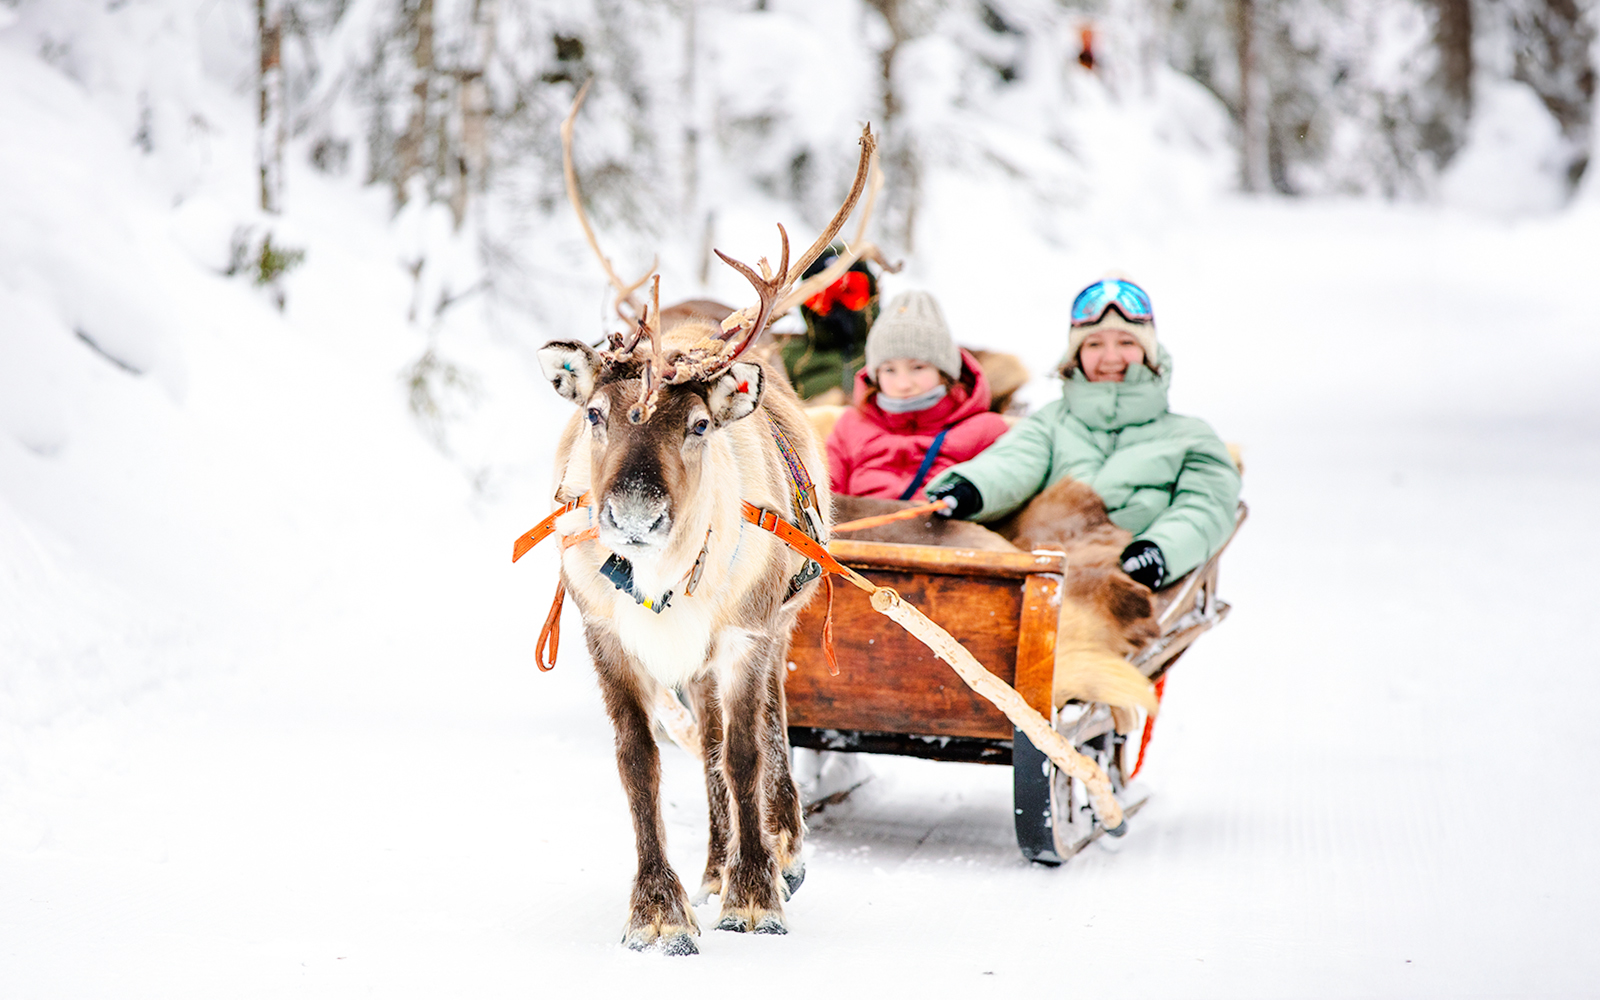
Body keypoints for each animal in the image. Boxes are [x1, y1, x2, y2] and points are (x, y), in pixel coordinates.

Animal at [530, 84, 880, 955]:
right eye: (594, 413)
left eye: (694, 425)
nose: (632, 511)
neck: (663, 582)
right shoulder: (606, 636)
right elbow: (642, 762)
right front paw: (660, 908)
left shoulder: (745, 633)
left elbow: (749, 753)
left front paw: (756, 893)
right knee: (707, 745)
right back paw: (716, 863)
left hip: (776, 623)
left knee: (760, 732)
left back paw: (776, 849)